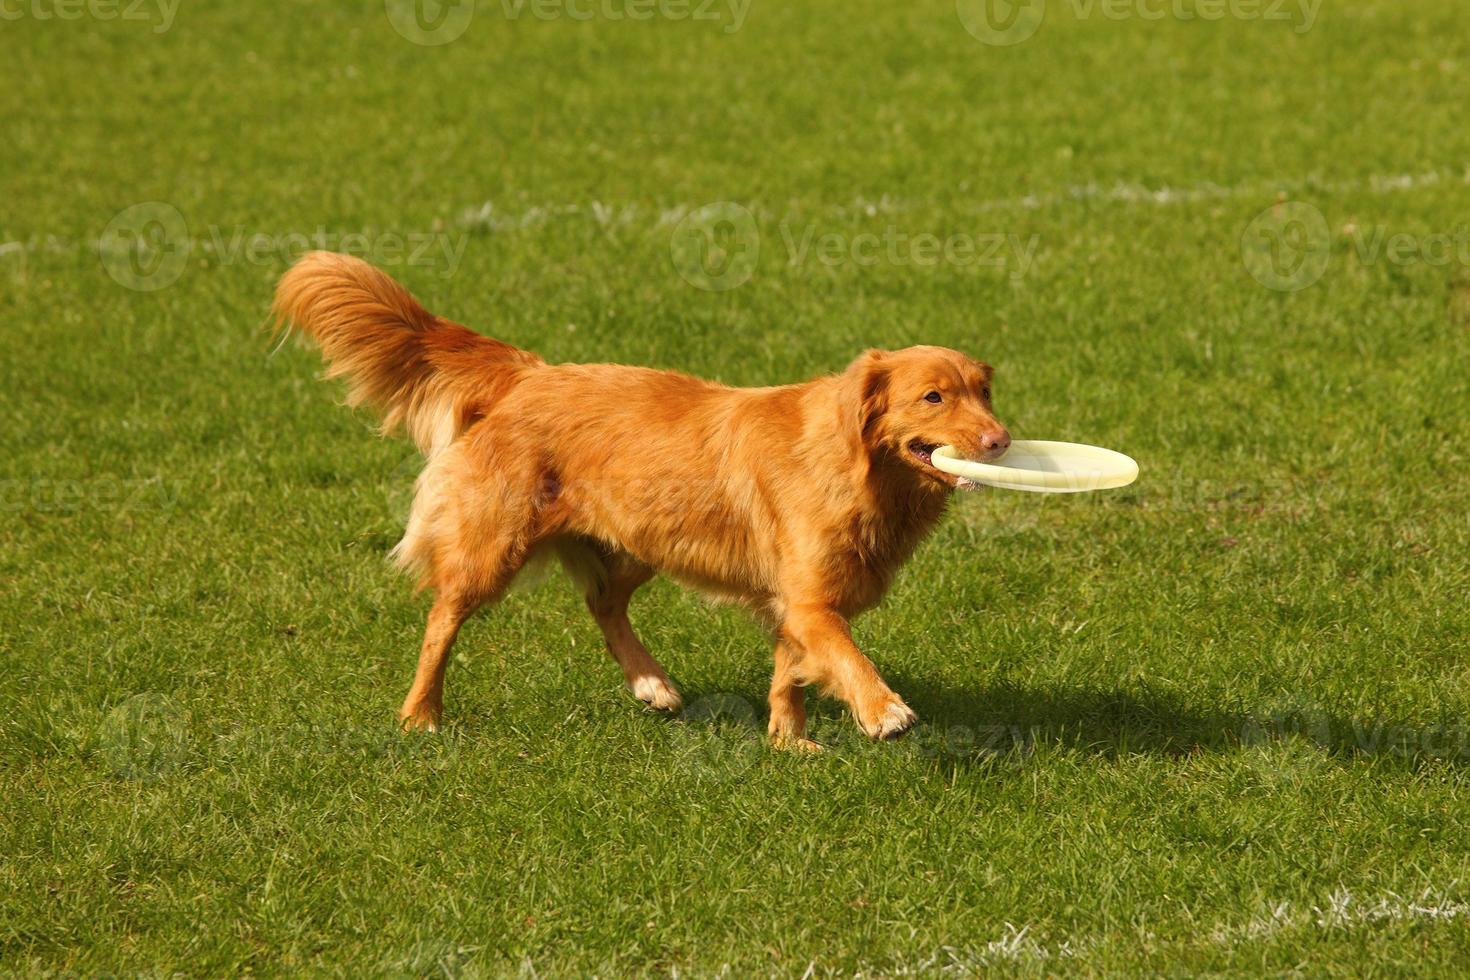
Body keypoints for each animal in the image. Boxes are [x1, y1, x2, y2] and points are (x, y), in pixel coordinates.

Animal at [273, 255, 1011, 752]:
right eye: (933, 397)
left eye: (984, 392)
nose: (1001, 441)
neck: (857, 466)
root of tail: (527, 374)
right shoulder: (809, 599)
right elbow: (847, 657)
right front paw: (883, 712)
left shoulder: (792, 598)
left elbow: (790, 672)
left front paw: (787, 741)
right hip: (495, 547)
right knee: (441, 620)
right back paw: (420, 716)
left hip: (643, 538)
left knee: (603, 604)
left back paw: (651, 684)